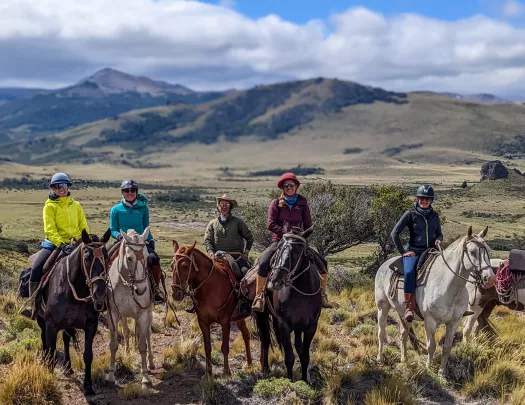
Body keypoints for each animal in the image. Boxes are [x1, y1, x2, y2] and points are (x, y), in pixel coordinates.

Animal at [37, 230, 111, 394]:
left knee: (65, 338)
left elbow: (88, 355)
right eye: (87, 258)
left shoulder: (91, 326)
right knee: (43, 338)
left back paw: (68, 366)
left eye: (107, 257)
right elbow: (51, 351)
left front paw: (88, 386)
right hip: (41, 319)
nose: (99, 294)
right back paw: (45, 360)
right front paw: (48, 379)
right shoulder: (51, 326)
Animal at [105, 227, 155, 388]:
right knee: (126, 332)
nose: (141, 290)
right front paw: (111, 375)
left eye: (147, 256)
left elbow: (142, 345)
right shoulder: (113, 315)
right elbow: (114, 344)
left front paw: (145, 377)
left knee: (147, 335)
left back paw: (151, 363)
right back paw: (127, 351)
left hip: (149, 313)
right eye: (129, 258)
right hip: (124, 316)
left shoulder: (143, 315)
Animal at [170, 240, 252, 376]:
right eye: (171, 266)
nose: (176, 294)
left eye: (185, 266)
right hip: (239, 317)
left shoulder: (225, 322)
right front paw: (208, 373)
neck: (210, 288)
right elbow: (207, 347)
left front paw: (226, 372)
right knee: (246, 334)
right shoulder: (203, 322)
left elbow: (225, 347)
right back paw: (249, 363)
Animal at [254, 227, 320, 382]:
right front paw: (290, 381)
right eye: (279, 248)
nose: (276, 280)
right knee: (265, 339)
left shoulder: (311, 326)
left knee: (297, 344)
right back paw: (265, 369)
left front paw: (305, 380)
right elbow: (289, 357)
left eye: (297, 251)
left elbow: (304, 355)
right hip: (262, 315)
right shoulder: (284, 325)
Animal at [374, 226, 494, 374]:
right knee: (381, 332)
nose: (490, 279)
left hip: (403, 313)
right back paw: (379, 358)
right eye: (472, 252)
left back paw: (404, 359)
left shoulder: (454, 322)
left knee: (404, 334)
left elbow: (447, 347)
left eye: (488, 250)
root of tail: (384, 265)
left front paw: (441, 373)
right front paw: (428, 369)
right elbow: (431, 346)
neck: (448, 286)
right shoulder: (430, 321)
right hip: (382, 307)